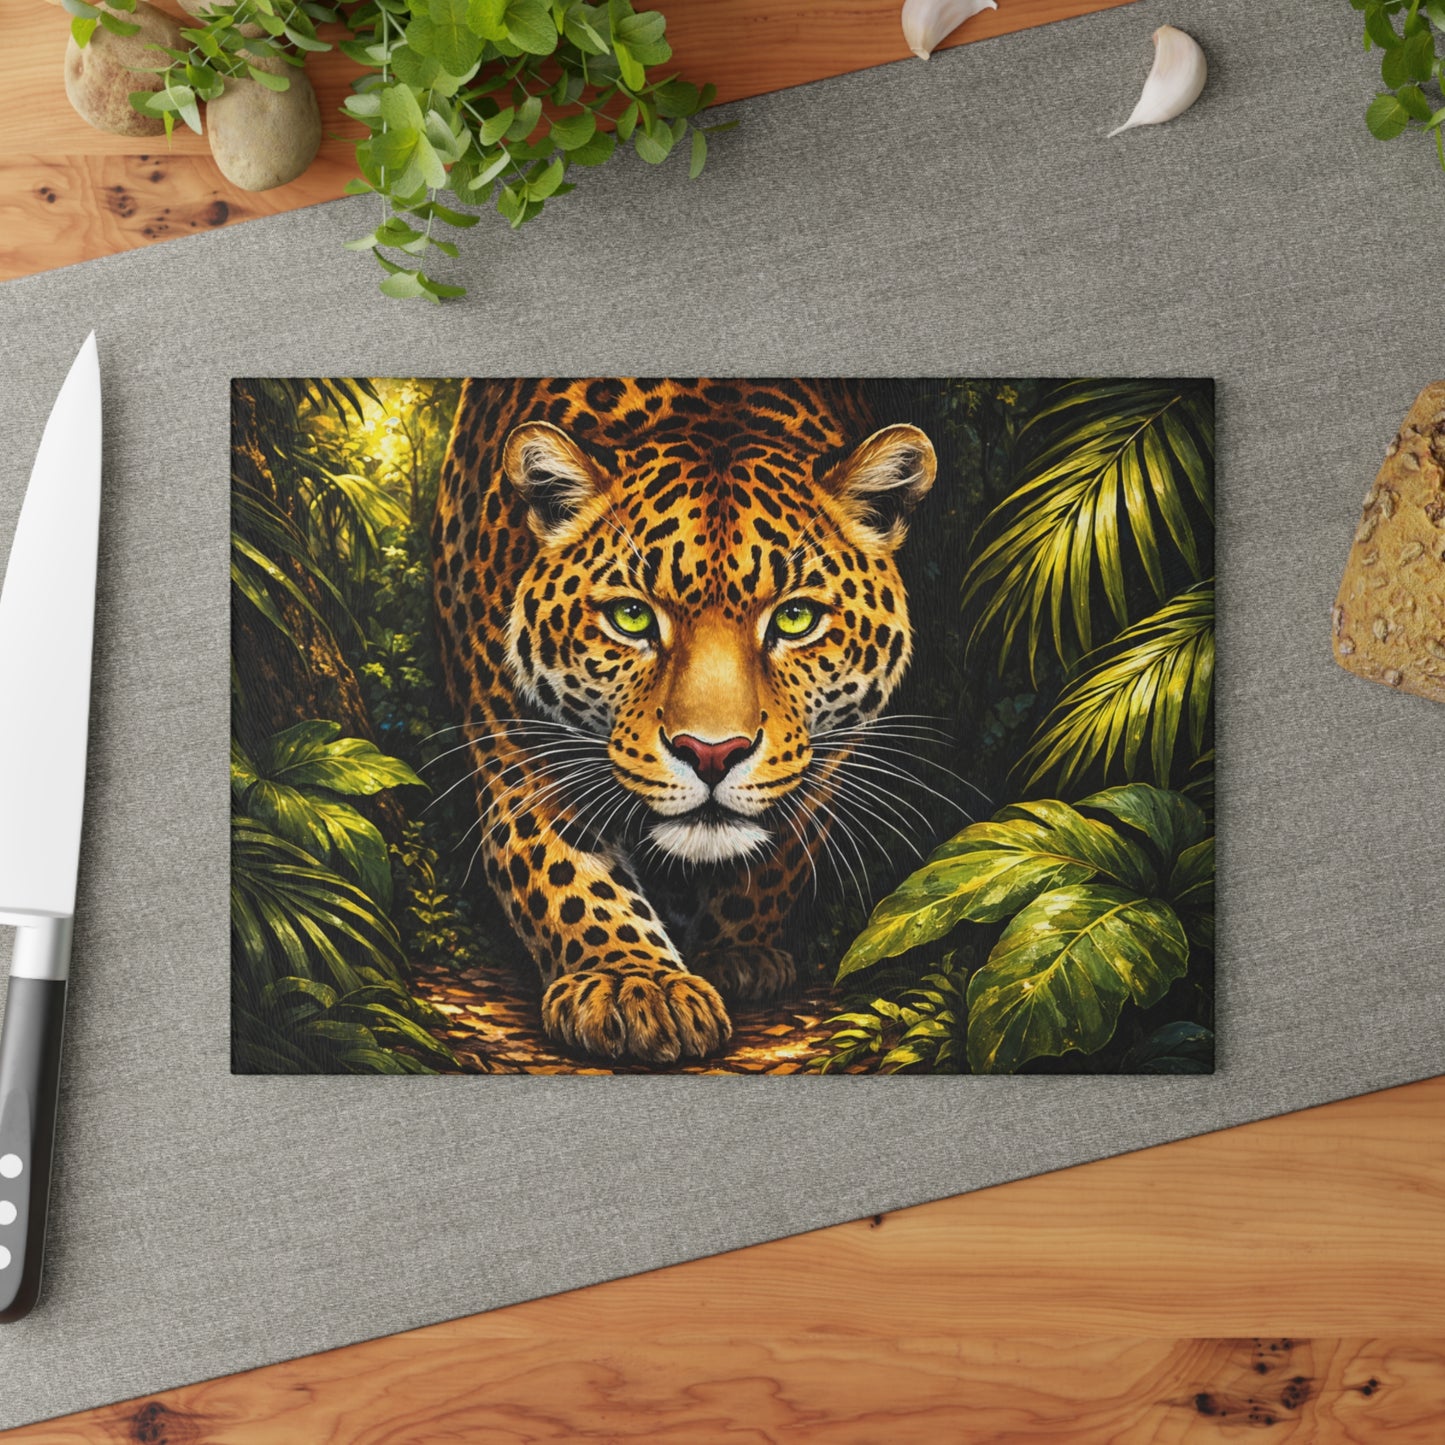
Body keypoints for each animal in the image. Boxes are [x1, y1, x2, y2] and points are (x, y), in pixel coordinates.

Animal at [431, 378, 937, 1066]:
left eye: (796, 618)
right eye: (632, 618)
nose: (712, 753)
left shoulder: (831, 749)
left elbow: (780, 850)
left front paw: (738, 952)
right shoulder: (517, 744)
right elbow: (564, 872)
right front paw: (633, 985)